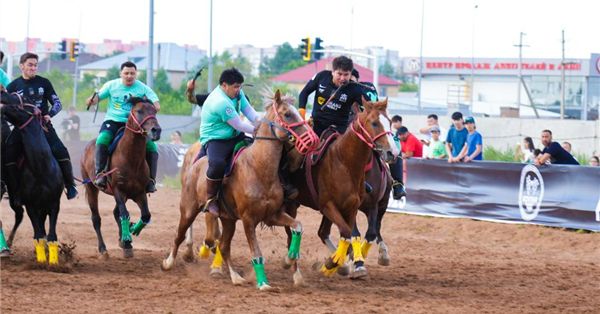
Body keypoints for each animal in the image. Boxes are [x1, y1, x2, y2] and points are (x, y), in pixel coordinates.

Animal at [0, 97, 64, 264]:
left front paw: (53, 262)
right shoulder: (31, 205)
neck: (41, 168)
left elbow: (51, 235)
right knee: (21, 215)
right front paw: (42, 260)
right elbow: (38, 235)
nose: (3, 106)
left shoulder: (54, 203)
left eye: (20, 104)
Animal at [82, 97, 163, 258]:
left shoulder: (139, 193)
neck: (131, 158)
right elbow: (124, 214)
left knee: (115, 213)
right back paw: (103, 248)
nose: (156, 130)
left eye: (154, 111)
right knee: (96, 219)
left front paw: (131, 231)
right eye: (139, 111)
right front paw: (126, 236)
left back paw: (125, 242)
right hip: (92, 188)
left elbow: (145, 215)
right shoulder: (118, 190)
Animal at [159, 89, 318, 290]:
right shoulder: (248, 220)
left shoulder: (272, 215)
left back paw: (235, 277)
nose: (313, 139)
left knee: (224, 247)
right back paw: (168, 262)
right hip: (188, 209)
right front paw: (263, 283)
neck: (258, 168)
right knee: (179, 236)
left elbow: (298, 227)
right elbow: (256, 253)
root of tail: (195, 163)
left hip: (229, 220)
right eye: (287, 114)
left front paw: (289, 259)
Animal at [282, 97, 398, 278]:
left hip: (381, 204)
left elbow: (368, 233)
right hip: (292, 203)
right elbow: (350, 233)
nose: (392, 152)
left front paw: (349, 260)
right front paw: (348, 263)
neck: (344, 162)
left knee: (325, 232)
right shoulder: (329, 205)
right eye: (374, 123)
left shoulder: (363, 206)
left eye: (390, 122)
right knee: (292, 230)